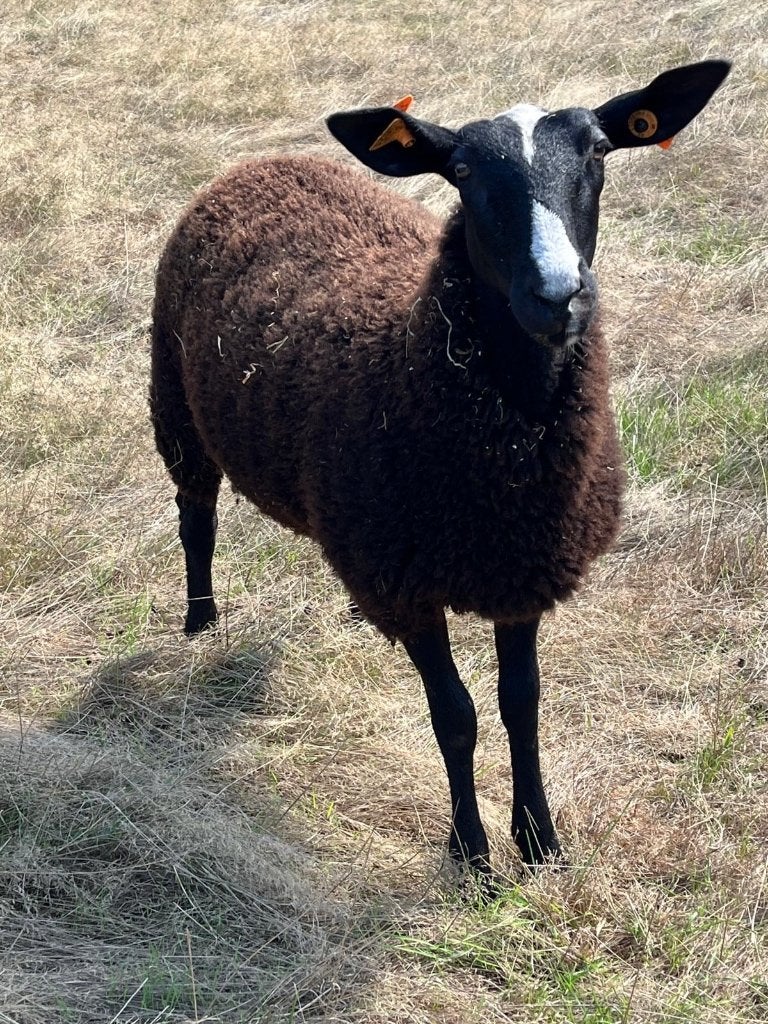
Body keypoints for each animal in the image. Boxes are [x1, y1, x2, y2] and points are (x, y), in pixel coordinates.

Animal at [150, 60, 730, 876]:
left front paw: (540, 842)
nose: (558, 296)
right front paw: (473, 856)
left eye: (599, 150)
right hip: (176, 404)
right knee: (194, 516)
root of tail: (263, 163)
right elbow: (455, 716)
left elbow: (523, 704)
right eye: (460, 172)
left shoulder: (521, 568)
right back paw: (200, 621)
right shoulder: (414, 584)